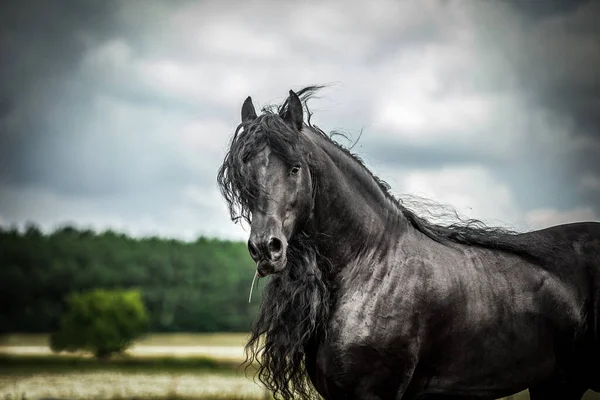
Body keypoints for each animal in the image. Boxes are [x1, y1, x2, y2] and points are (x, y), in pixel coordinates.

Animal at [217, 86, 600, 398]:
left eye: (295, 168)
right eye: (245, 172)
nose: (266, 248)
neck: (371, 266)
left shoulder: (376, 392)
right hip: (557, 384)